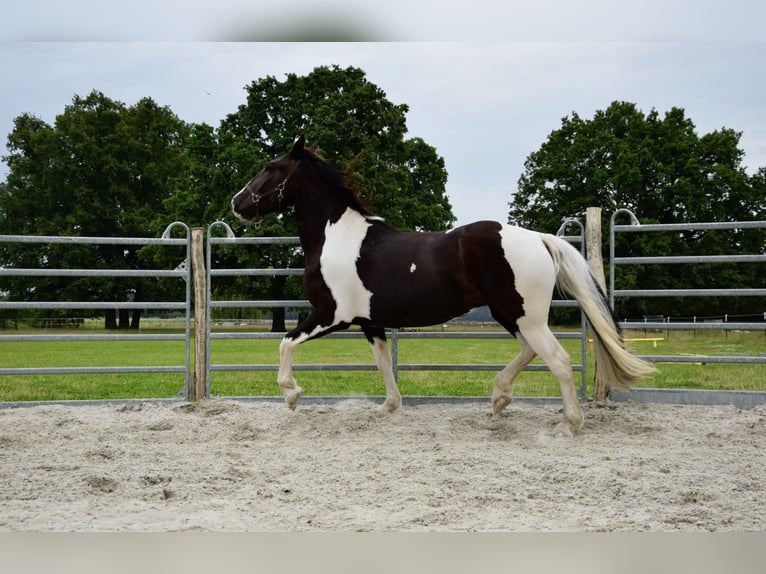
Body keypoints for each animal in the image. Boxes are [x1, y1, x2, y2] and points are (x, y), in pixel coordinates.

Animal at [231, 137, 656, 434]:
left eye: (271, 167)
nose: (237, 203)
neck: (336, 238)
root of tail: (539, 238)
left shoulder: (332, 315)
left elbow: (286, 343)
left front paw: (292, 394)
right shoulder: (371, 322)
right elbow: (383, 364)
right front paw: (388, 407)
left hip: (525, 316)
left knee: (558, 360)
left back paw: (569, 423)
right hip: (510, 314)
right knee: (529, 351)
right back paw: (499, 398)